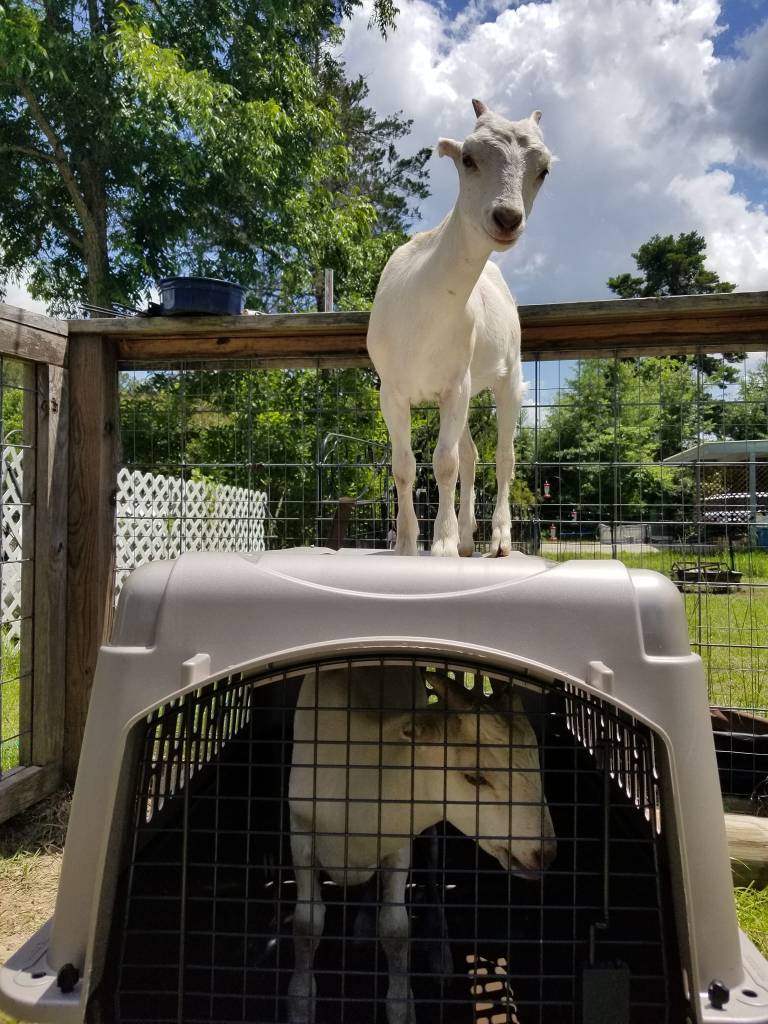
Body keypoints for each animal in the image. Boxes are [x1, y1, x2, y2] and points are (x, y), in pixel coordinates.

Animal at [287, 664, 556, 1024]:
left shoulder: (399, 844)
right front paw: (300, 1004)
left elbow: (396, 930)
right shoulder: (300, 833)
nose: (545, 853)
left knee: (430, 865)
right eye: (474, 777)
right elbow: (308, 924)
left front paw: (402, 1007)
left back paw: (439, 952)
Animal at [367, 100, 552, 557]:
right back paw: (470, 538)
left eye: (543, 169)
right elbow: (404, 466)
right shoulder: (392, 389)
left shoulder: (456, 383)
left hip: (508, 374)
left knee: (503, 456)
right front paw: (406, 544)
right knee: (471, 453)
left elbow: (444, 462)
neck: (424, 309)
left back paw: (498, 539)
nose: (507, 217)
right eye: (468, 158)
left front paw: (443, 543)